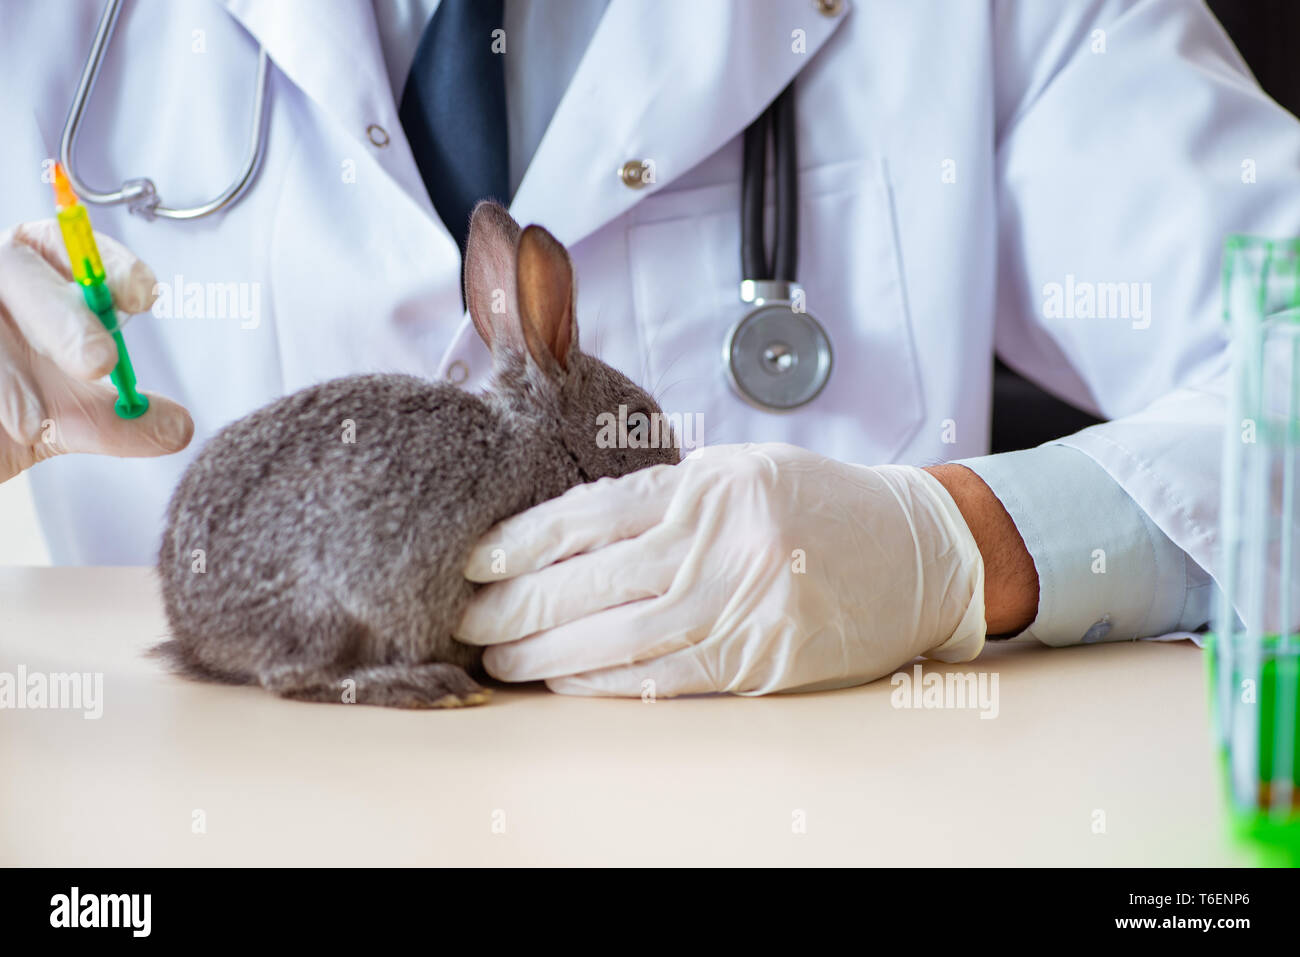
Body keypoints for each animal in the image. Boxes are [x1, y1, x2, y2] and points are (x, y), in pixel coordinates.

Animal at [153, 201, 680, 708]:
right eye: (636, 425)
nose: (675, 464)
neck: (547, 440)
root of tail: (192, 627)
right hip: (334, 602)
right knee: (295, 677)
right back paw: (432, 687)